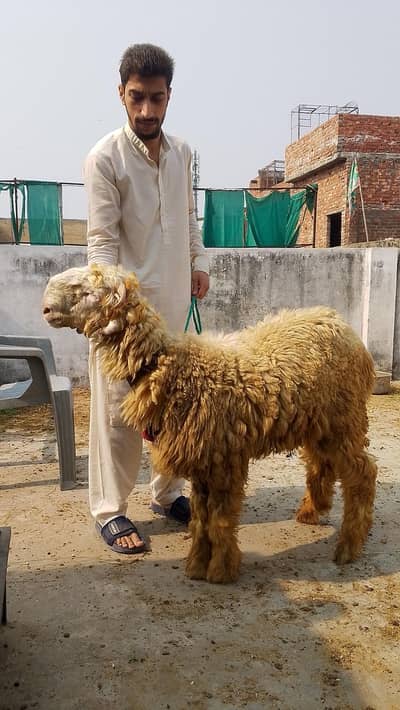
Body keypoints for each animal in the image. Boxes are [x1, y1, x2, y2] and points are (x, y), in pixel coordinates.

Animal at [42, 263, 377, 583]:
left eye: (87, 291)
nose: (45, 308)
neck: (167, 366)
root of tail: (340, 323)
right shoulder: (206, 462)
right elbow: (202, 518)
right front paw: (197, 564)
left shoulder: (224, 460)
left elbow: (219, 520)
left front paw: (220, 570)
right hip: (319, 423)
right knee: (321, 464)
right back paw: (311, 511)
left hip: (345, 419)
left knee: (362, 473)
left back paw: (349, 546)